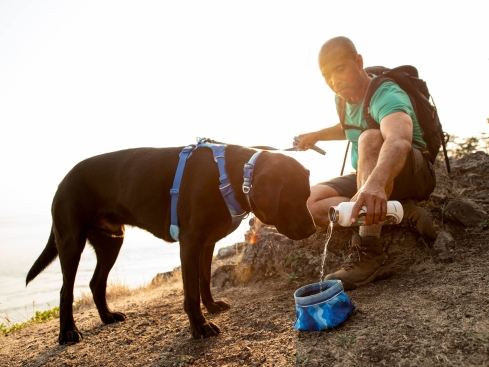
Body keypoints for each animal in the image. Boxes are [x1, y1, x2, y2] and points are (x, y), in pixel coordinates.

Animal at [25, 144, 316, 344]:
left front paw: (211, 307)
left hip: (111, 242)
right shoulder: (190, 243)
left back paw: (107, 317)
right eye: (292, 197)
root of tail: (63, 180)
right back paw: (68, 332)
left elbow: (204, 280)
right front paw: (200, 327)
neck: (230, 175)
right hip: (71, 240)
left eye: (307, 195)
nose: (313, 229)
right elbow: (191, 293)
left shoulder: (206, 244)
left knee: (97, 283)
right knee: (66, 291)